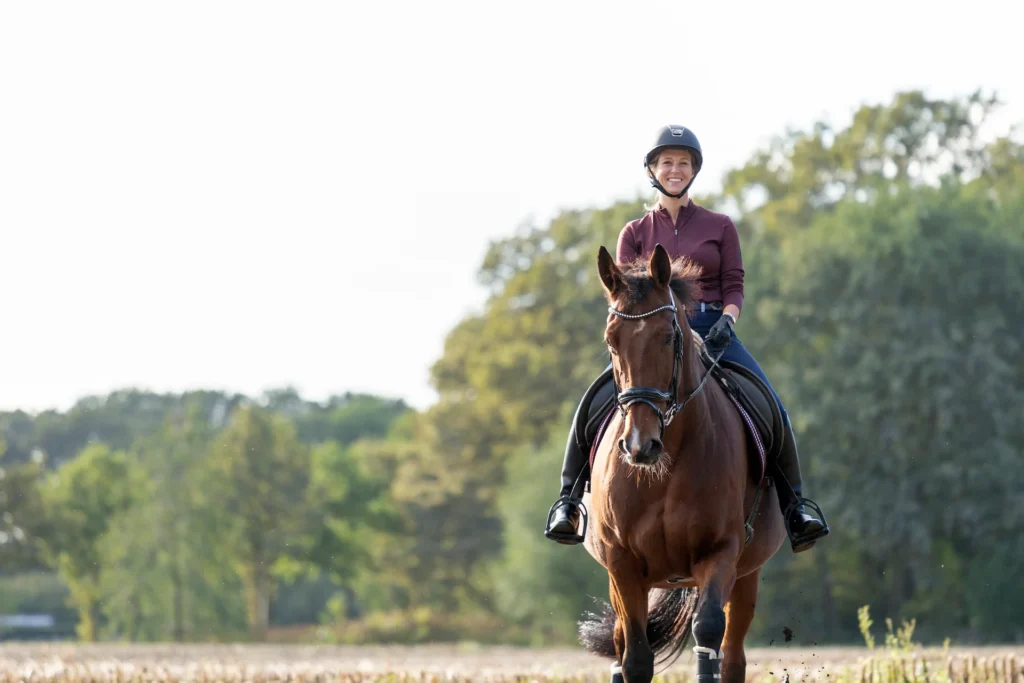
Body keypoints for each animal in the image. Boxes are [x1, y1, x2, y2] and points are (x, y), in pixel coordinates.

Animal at [577, 244, 787, 683]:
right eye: (611, 341)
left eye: (669, 336)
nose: (639, 445)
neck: (663, 471)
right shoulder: (622, 564)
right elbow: (635, 658)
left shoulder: (720, 552)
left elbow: (707, 634)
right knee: (620, 643)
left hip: (746, 576)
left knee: (732, 655)